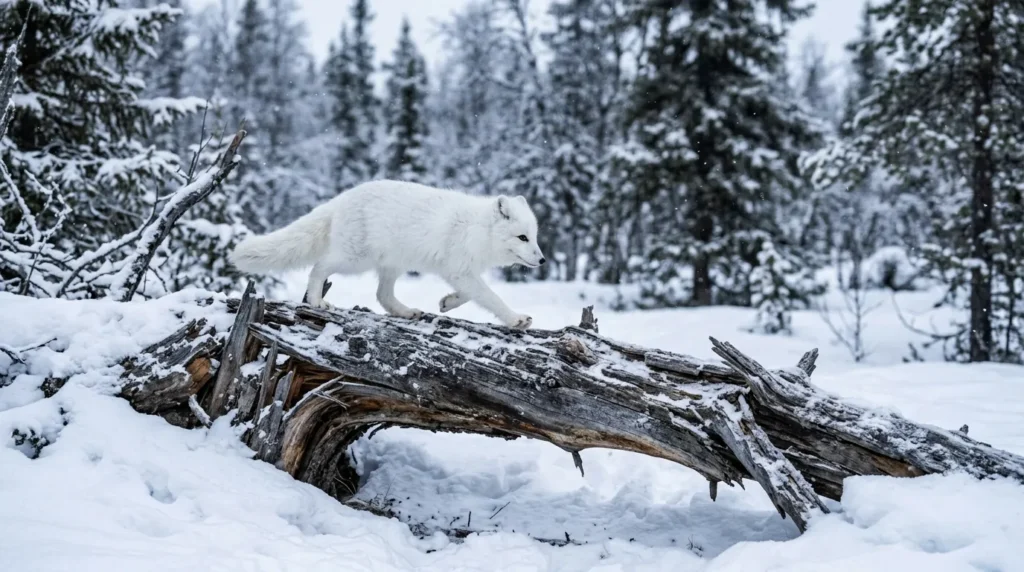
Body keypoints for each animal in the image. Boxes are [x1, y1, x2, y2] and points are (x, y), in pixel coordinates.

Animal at [229, 180, 546, 329]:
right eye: (522, 237)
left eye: (535, 237)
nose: (542, 260)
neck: (477, 230)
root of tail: (341, 198)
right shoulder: (459, 270)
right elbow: (491, 297)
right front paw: (516, 319)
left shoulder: (460, 272)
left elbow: (473, 295)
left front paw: (447, 302)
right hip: (354, 260)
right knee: (318, 268)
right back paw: (318, 302)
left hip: (392, 265)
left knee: (382, 295)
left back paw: (407, 312)